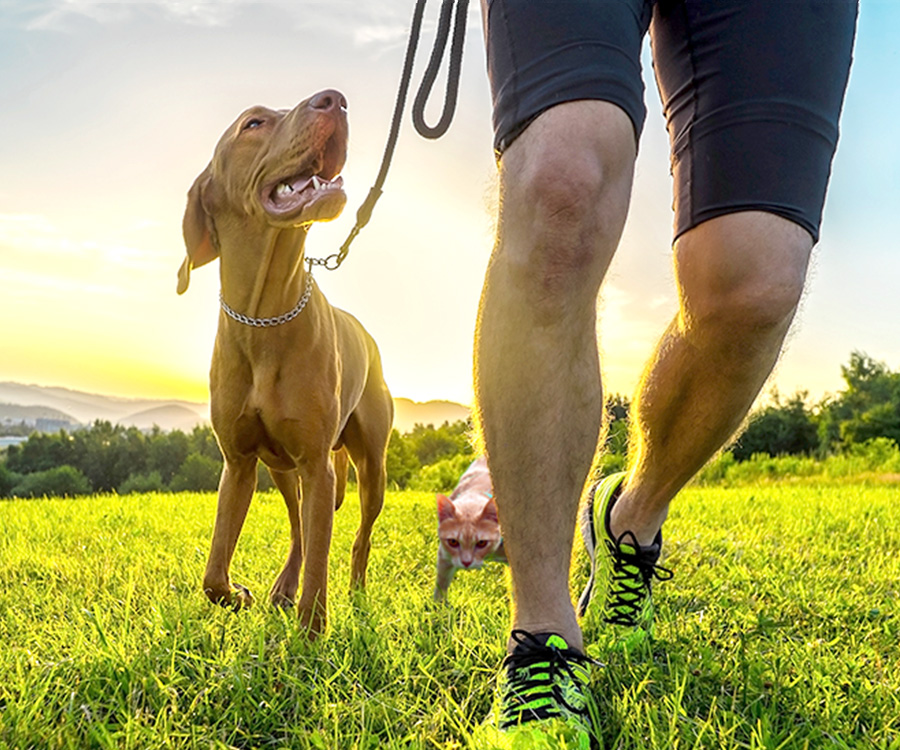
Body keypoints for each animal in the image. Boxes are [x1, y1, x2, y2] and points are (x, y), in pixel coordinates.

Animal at [178, 89, 392, 640]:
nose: (334, 99)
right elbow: (212, 574)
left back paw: (356, 589)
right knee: (299, 527)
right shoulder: (238, 464)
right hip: (281, 469)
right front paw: (239, 595)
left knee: (357, 535)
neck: (264, 315)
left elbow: (321, 561)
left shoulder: (318, 462)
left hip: (370, 465)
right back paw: (281, 587)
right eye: (253, 123)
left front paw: (311, 633)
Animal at [436, 456, 506, 604]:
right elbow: (441, 585)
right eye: (453, 542)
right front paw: (438, 607)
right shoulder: (444, 556)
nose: (466, 562)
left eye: (481, 543)